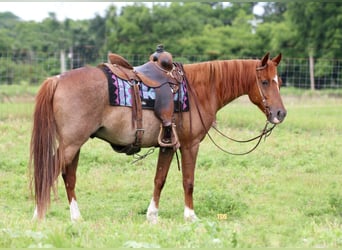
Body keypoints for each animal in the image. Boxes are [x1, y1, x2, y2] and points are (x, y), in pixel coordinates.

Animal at [29, 52, 286, 223]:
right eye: (265, 82)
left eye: (280, 82)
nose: (280, 113)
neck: (199, 90)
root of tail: (57, 79)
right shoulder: (189, 145)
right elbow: (188, 181)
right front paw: (190, 216)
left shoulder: (168, 145)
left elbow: (159, 179)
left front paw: (152, 216)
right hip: (72, 144)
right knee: (51, 171)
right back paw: (38, 215)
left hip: (74, 144)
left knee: (68, 177)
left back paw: (76, 217)